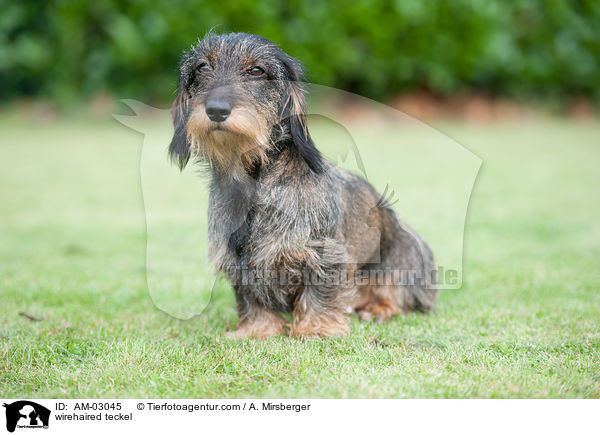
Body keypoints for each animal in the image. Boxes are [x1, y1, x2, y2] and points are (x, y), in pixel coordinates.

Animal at [169, 32, 436, 338]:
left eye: (257, 70)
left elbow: (320, 291)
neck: (255, 182)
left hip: (402, 259)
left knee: (396, 295)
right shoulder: (239, 262)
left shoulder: (325, 252)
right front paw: (257, 330)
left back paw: (377, 309)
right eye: (202, 68)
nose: (216, 110)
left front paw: (315, 328)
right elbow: (252, 299)